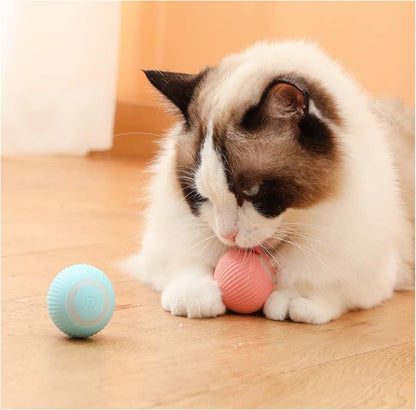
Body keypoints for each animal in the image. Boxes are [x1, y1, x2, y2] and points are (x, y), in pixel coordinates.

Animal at [119, 41, 412, 324]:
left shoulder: (368, 267)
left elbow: (321, 282)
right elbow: (188, 265)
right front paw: (195, 299)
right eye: (201, 196)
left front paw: (294, 301)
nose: (227, 235)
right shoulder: (166, 247)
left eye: (252, 192)